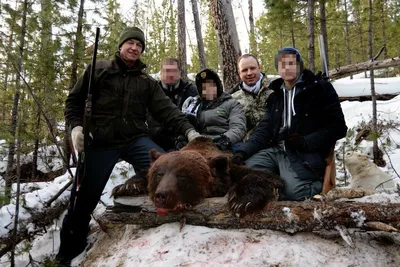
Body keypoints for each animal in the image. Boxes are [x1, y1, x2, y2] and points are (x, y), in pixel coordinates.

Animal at [111, 138, 282, 218]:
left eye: (183, 175)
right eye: (159, 173)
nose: (162, 195)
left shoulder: (231, 170)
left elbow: (266, 177)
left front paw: (242, 201)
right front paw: (126, 187)